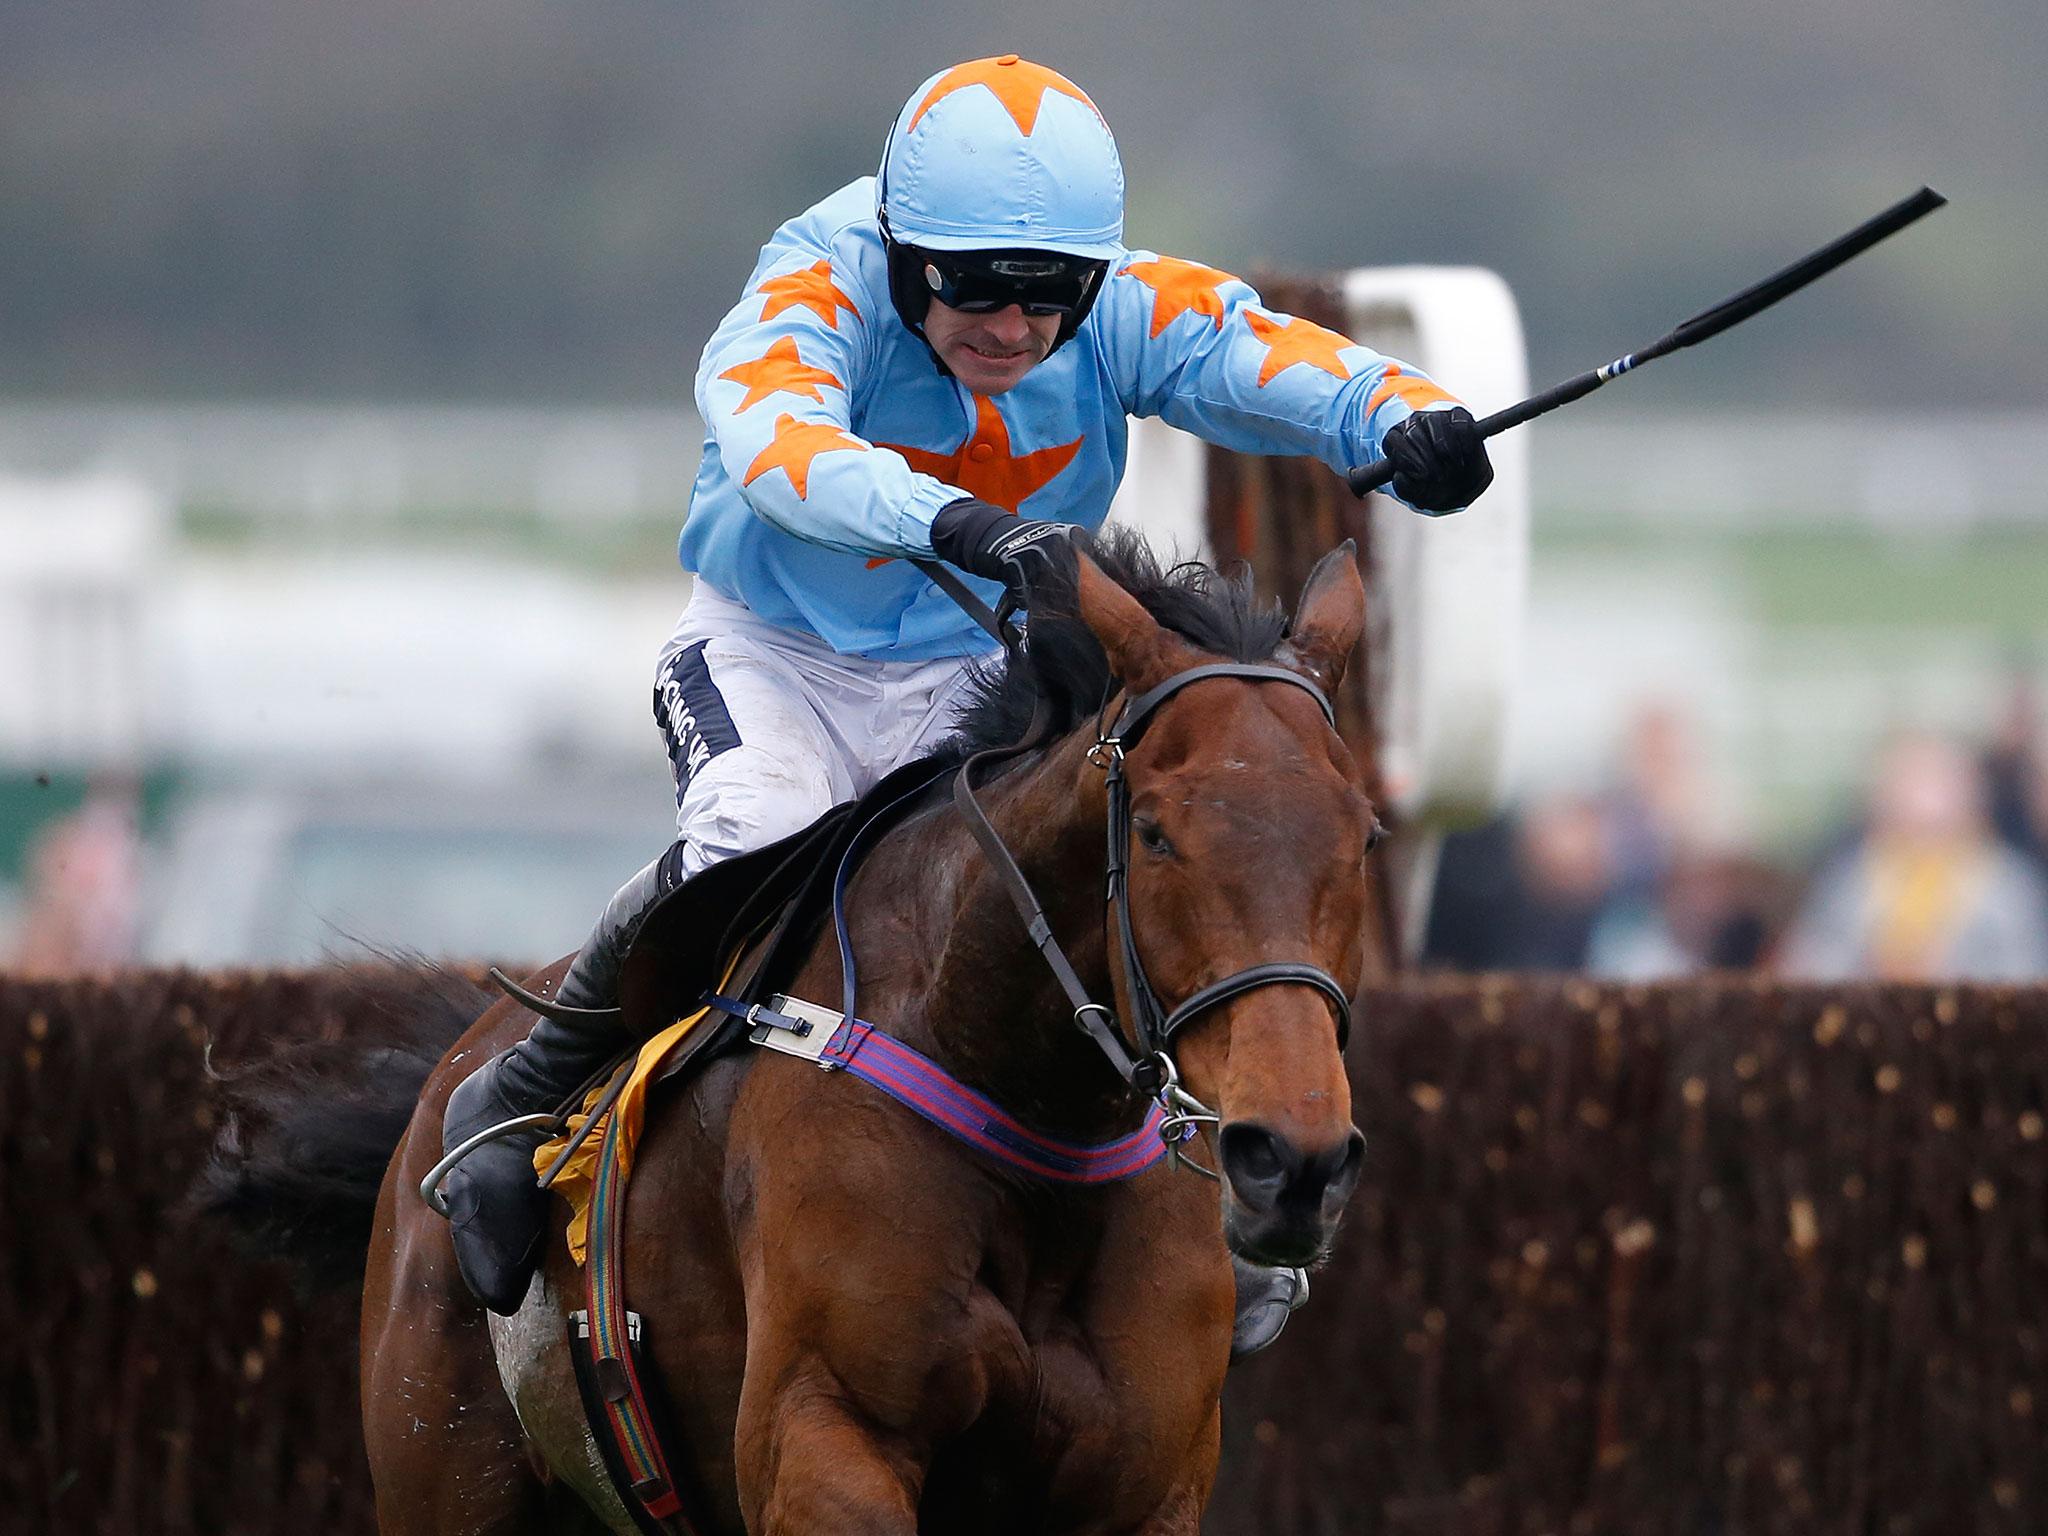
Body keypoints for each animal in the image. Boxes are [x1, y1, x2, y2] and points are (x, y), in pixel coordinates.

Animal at [207, 532, 1384, 1536]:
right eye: (1153, 833)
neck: (1031, 1116)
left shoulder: (1142, 1483)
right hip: (447, 1464)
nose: (1292, 1160)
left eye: (1364, 833)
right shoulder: (826, 1437)